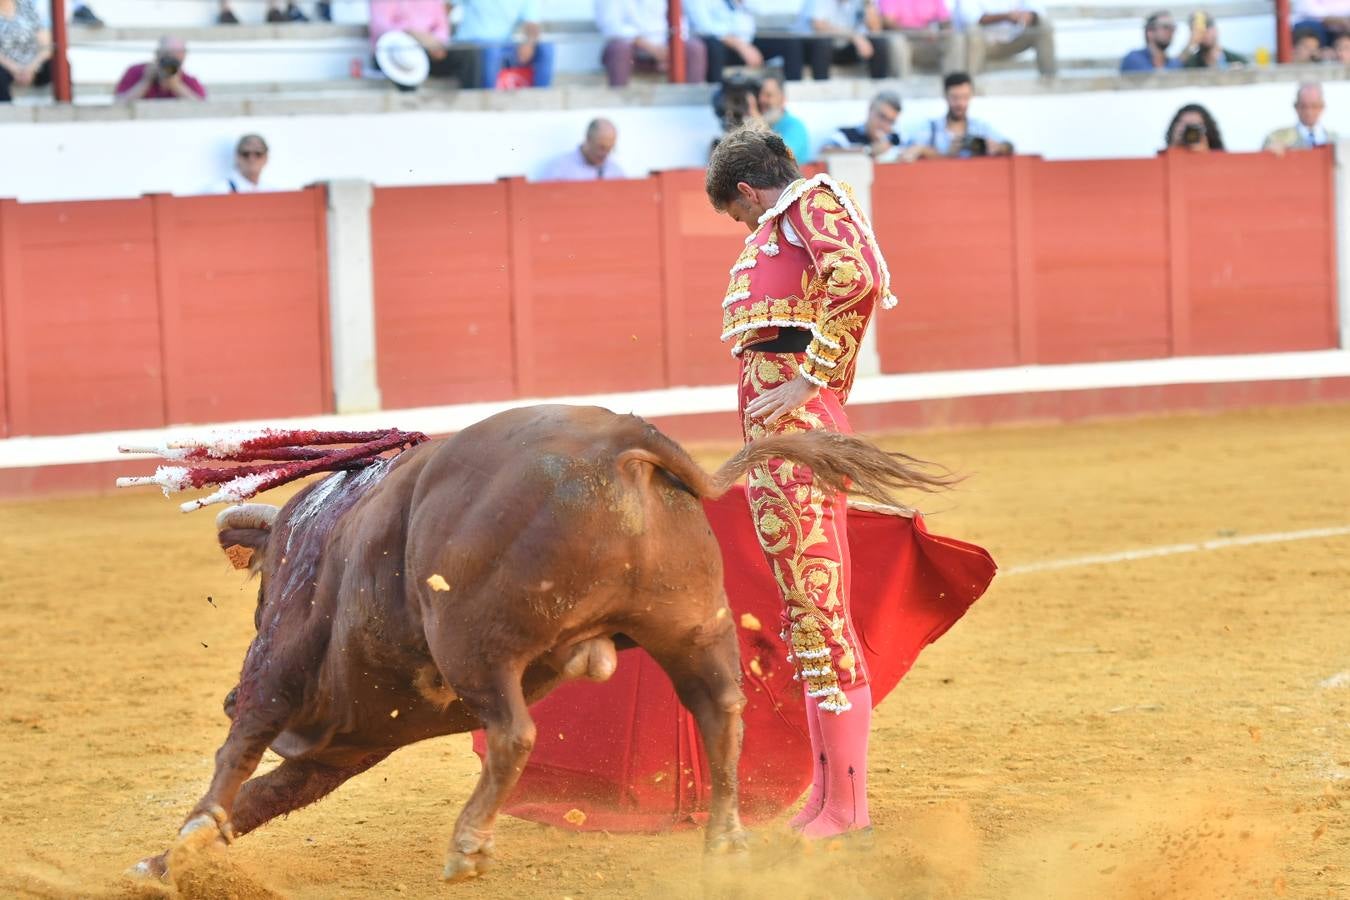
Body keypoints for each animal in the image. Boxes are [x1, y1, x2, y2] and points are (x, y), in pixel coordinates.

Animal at [131, 404, 945, 885]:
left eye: (263, 598)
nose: (223, 692)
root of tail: (620, 440)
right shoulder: (343, 746)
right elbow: (263, 796)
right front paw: (170, 861)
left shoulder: (278, 676)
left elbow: (238, 753)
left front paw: (185, 839)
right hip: (692, 626)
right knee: (722, 713)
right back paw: (725, 841)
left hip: (474, 644)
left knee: (515, 731)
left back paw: (467, 846)